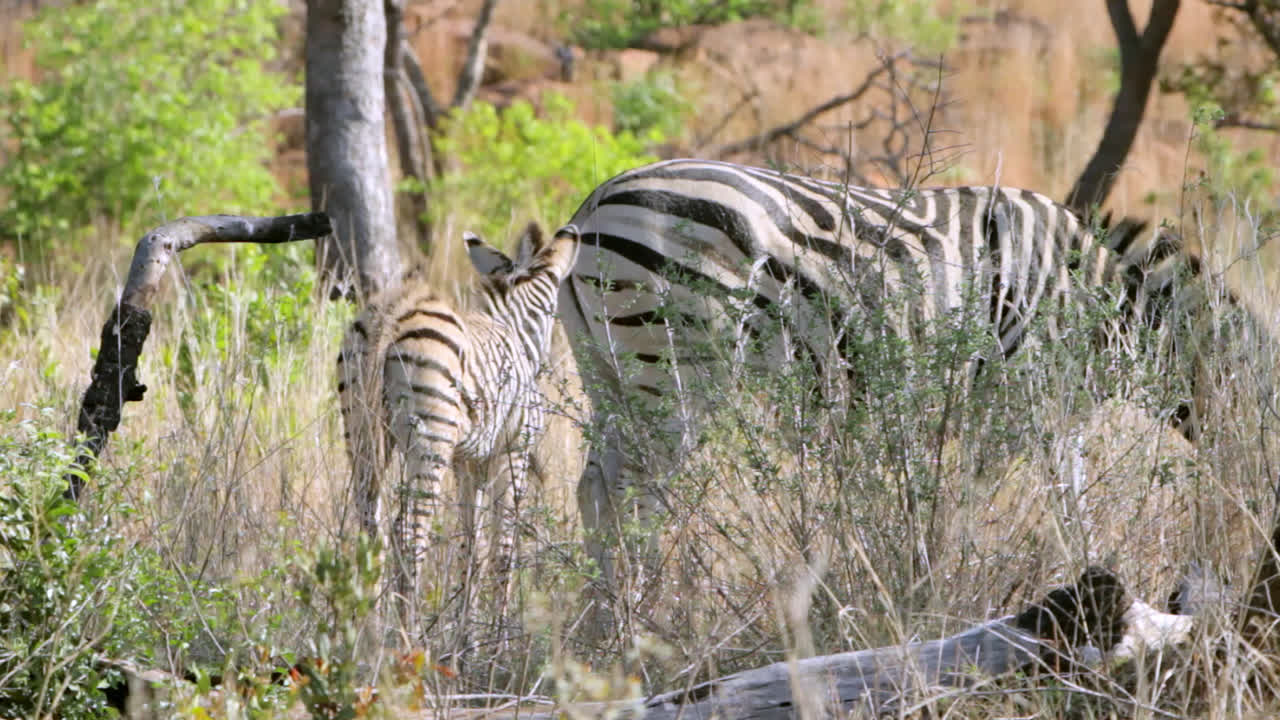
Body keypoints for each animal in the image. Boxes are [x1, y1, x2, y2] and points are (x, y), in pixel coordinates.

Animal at [337, 222, 580, 630]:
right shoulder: (513, 451)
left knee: (371, 531)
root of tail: (393, 312)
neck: (514, 330)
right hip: (430, 438)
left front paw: (467, 632)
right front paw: (498, 634)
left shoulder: (468, 462)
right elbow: (503, 548)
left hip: (361, 432)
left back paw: (371, 631)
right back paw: (408, 633)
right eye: (557, 312)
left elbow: (473, 548)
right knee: (408, 533)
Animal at [557, 158, 1243, 588]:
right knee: (638, 502)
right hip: (676, 369)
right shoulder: (1018, 398)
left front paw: (1093, 585)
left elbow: (1070, 510)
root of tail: (594, 202)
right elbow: (984, 504)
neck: (1102, 302)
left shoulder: (1050, 414)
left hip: (610, 372)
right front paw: (949, 587)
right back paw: (646, 617)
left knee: (595, 495)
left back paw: (604, 629)